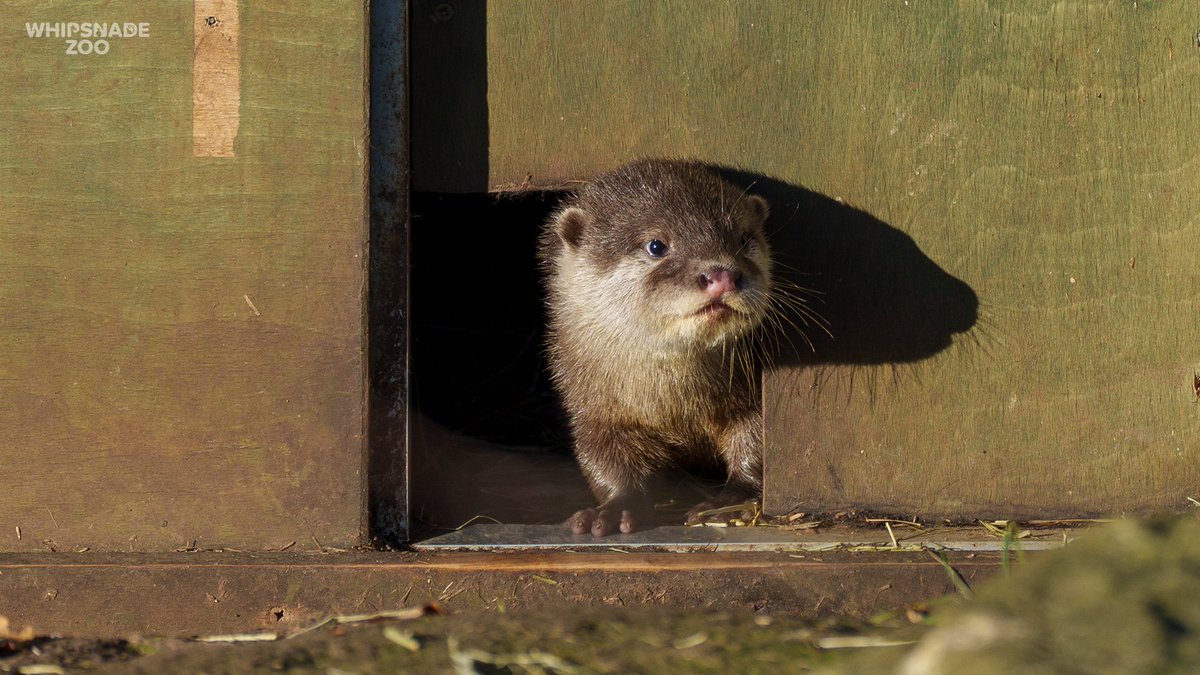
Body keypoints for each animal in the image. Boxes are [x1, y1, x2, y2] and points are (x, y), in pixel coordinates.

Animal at [539, 159, 777, 536]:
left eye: (743, 238)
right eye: (656, 246)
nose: (723, 275)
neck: (674, 403)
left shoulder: (750, 400)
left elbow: (756, 447)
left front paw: (727, 504)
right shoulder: (594, 413)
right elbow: (606, 463)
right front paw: (614, 510)